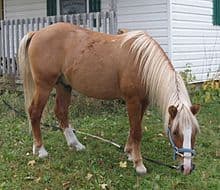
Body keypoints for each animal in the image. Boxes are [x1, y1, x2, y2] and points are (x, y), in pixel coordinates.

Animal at [18, 22, 200, 175]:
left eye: (195, 132)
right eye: (175, 132)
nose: (187, 168)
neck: (141, 62)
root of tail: (37, 33)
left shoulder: (143, 102)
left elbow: (134, 128)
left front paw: (129, 152)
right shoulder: (132, 100)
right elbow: (137, 131)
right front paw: (139, 164)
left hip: (63, 86)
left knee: (61, 112)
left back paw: (75, 144)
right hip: (44, 85)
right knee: (35, 112)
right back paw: (41, 150)